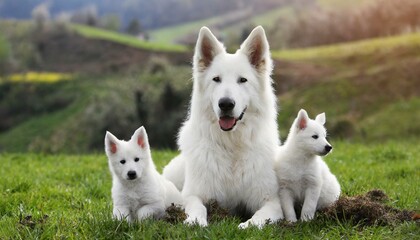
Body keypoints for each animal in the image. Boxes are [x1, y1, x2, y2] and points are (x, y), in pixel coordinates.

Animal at [162, 26, 284, 229]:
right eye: (216, 79)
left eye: (242, 80)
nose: (226, 104)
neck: (232, 146)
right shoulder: (193, 194)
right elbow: (196, 205)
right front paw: (195, 221)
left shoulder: (271, 201)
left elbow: (261, 215)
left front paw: (247, 226)